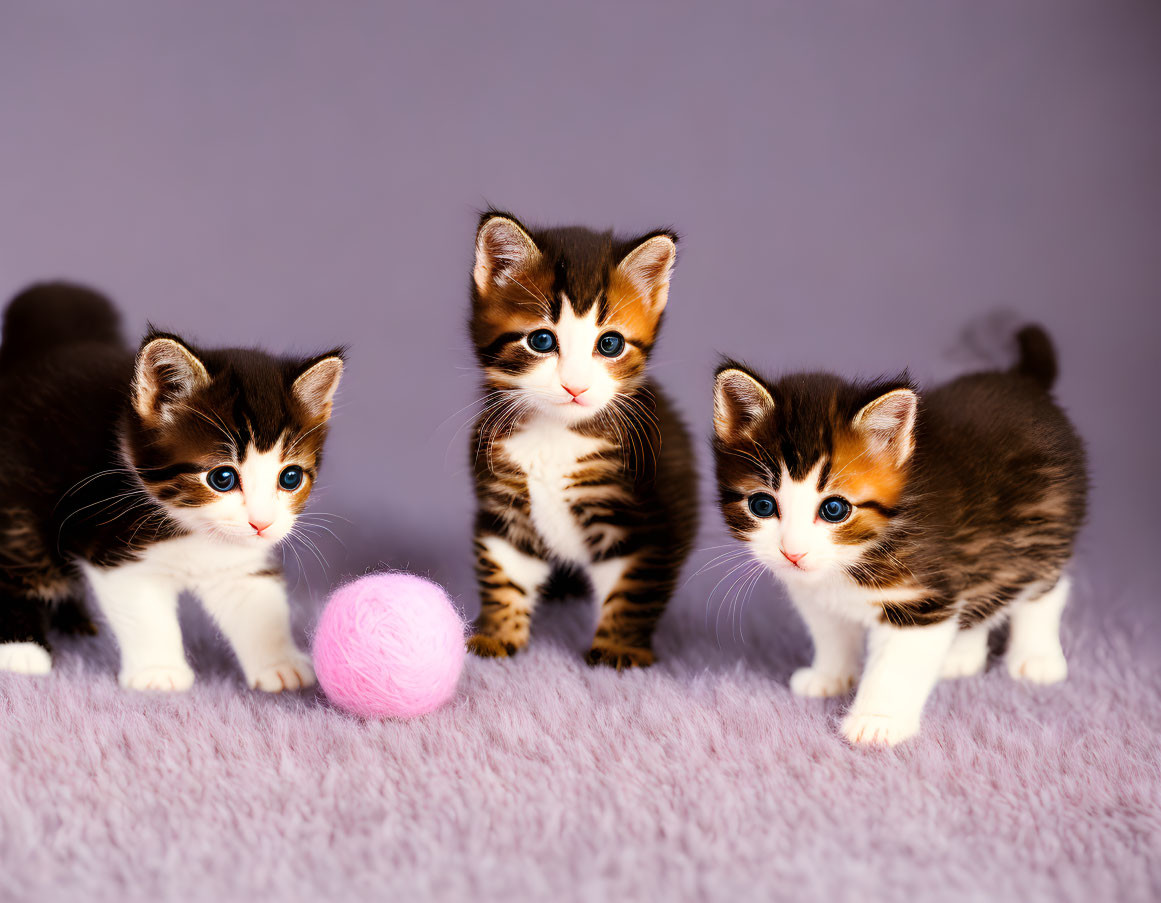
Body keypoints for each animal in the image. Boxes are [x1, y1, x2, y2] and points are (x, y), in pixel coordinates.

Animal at [0, 280, 343, 691]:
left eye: (290, 478)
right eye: (222, 478)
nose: (262, 523)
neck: (192, 527)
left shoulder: (240, 559)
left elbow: (256, 599)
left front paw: (280, 664)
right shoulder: (115, 544)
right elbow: (145, 613)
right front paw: (159, 672)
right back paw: (20, 648)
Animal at [462, 207, 696, 663]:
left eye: (610, 344)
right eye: (541, 340)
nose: (575, 386)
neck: (555, 437)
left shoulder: (644, 522)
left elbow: (632, 588)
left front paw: (619, 647)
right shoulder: (504, 509)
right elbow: (505, 575)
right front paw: (497, 634)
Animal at [710, 322, 1082, 747]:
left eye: (834, 509)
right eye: (762, 505)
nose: (793, 552)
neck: (856, 555)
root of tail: (1023, 379)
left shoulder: (920, 599)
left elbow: (896, 666)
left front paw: (877, 720)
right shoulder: (815, 592)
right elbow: (831, 632)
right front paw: (830, 675)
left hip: (1047, 524)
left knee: (1046, 589)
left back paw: (1036, 658)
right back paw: (961, 655)